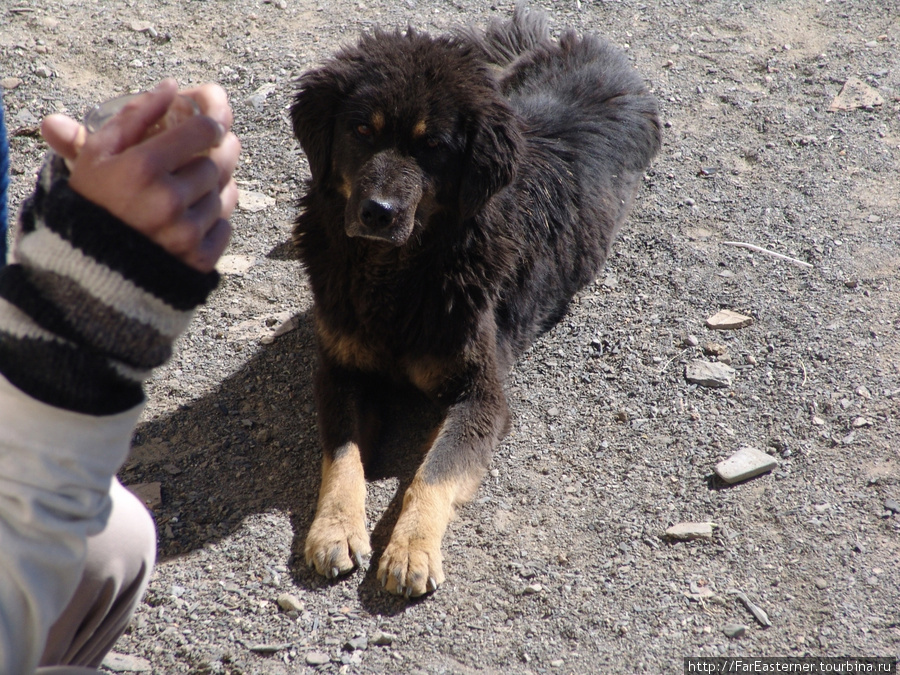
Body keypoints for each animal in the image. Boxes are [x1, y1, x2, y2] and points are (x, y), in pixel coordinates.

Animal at [290, 5, 660, 596]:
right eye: (361, 130)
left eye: (433, 146)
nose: (378, 212)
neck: (400, 276)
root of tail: (592, 50)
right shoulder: (341, 370)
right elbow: (343, 456)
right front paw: (335, 529)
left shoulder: (480, 394)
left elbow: (431, 472)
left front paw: (411, 548)